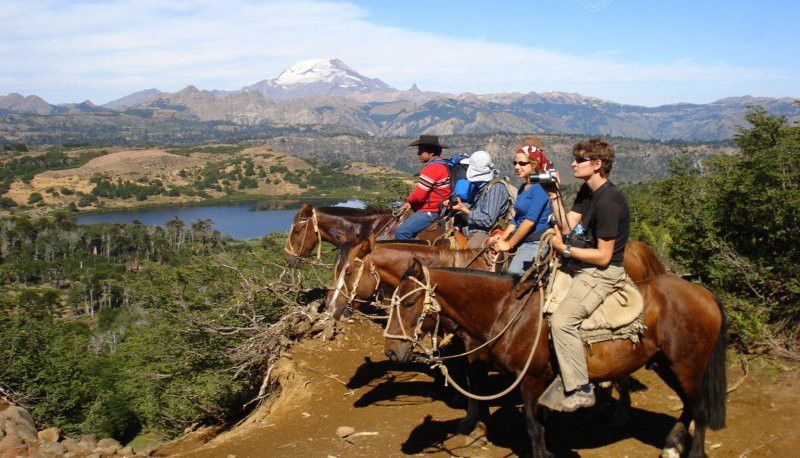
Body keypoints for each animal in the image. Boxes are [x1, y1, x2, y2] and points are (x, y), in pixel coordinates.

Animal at [384, 262, 728, 458]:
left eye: (410, 303)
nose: (392, 350)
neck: (508, 311)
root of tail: (705, 294)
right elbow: (541, 423)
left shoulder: (531, 379)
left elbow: (532, 427)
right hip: (669, 366)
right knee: (688, 406)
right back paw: (671, 445)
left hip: (687, 366)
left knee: (699, 409)